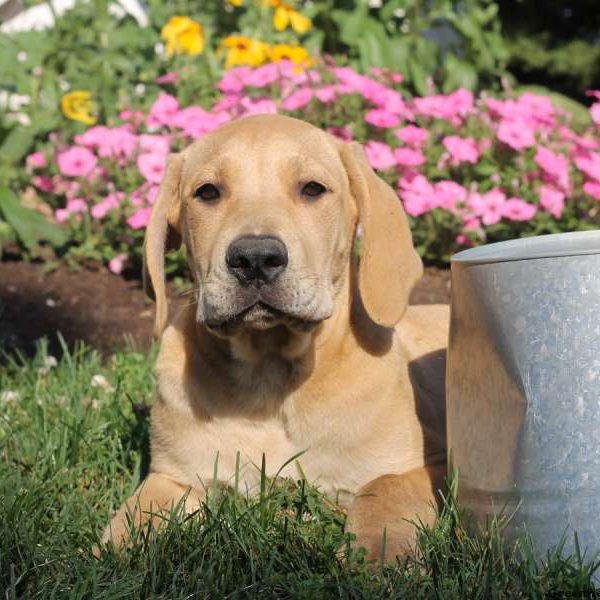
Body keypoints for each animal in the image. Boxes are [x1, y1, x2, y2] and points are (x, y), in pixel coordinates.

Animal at [102, 113, 450, 564]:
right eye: (208, 192)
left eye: (313, 189)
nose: (254, 259)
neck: (271, 376)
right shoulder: (174, 476)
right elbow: (131, 522)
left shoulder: (433, 464)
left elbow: (386, 488)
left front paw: (377, 557)